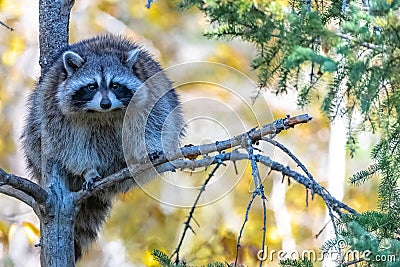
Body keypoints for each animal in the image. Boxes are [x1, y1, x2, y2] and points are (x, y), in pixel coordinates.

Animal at [20, 35, 184, 262]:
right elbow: (70, 144)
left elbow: (154, 123)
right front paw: (88, 170)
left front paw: (148, 149)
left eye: (115, 85)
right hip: (35, 133)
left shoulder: (151, 95)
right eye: (91, 86)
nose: (105, 103)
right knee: (38, 134)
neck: (103, 113)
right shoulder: (54, 109)